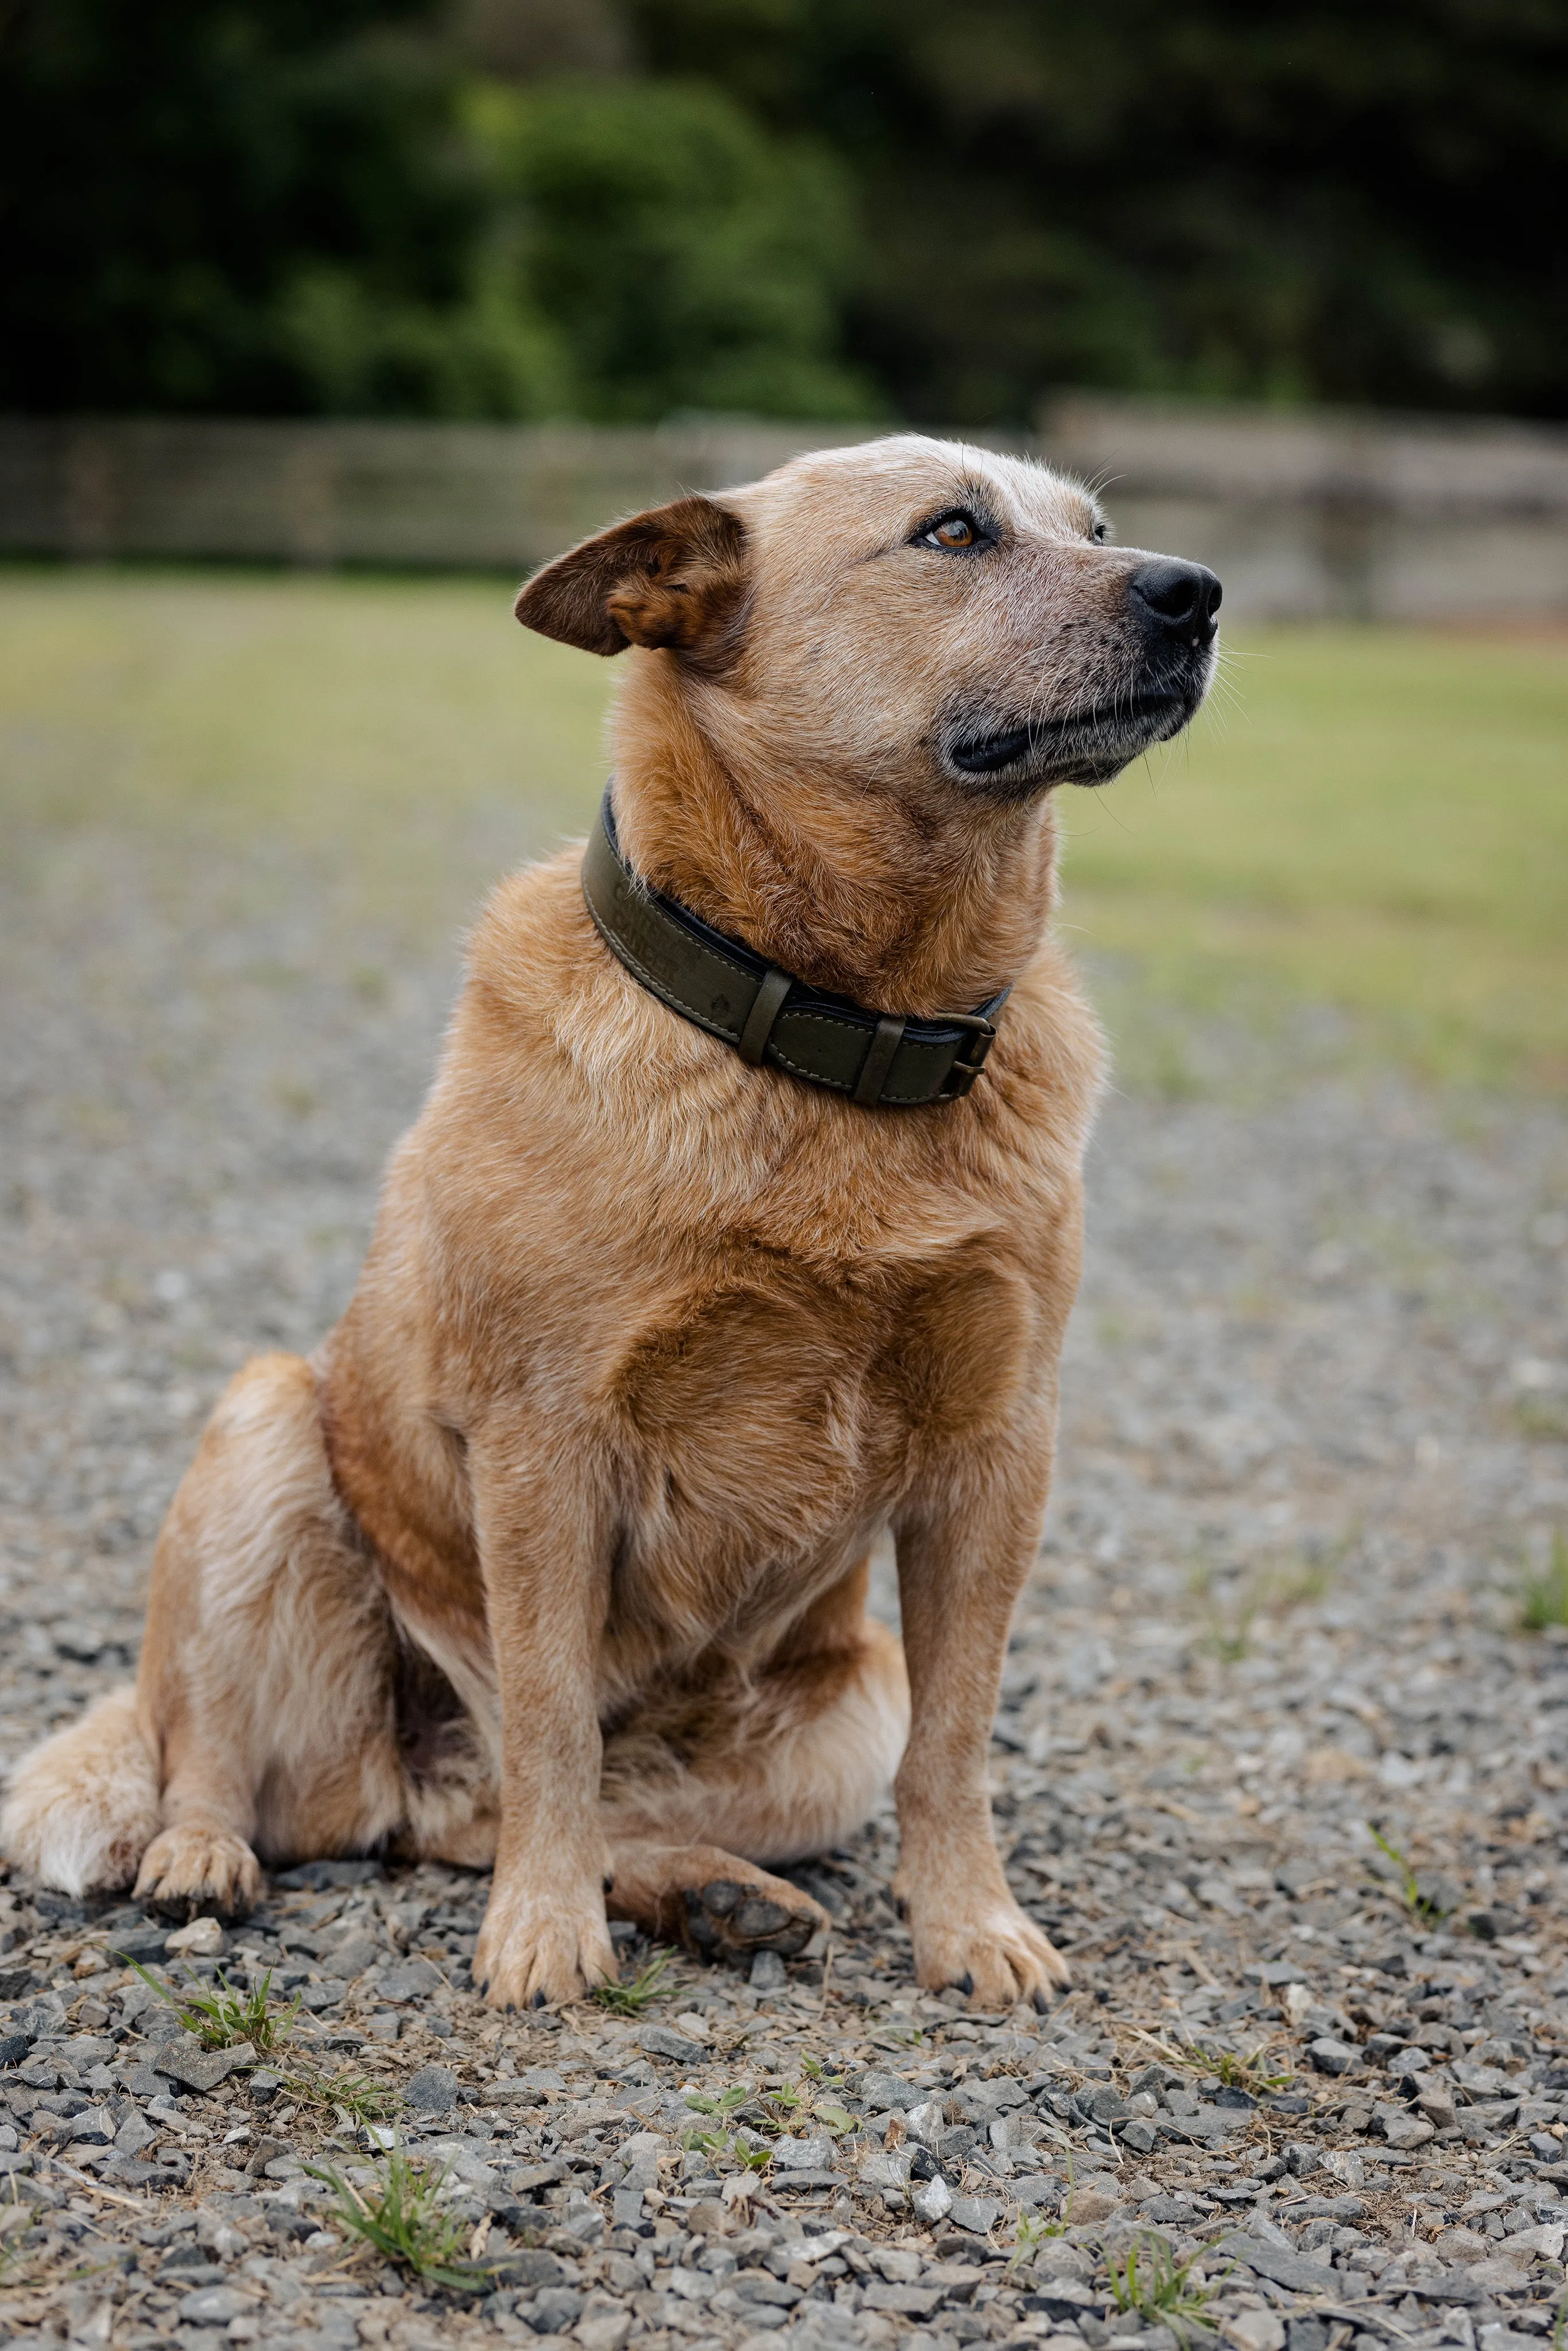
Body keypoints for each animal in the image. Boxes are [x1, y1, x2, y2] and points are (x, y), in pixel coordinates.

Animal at [0, 437, 1222, 2003]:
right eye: (952, 532)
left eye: (1097, 525)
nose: (1194, 591)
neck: (837, 1040)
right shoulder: (543, 1439)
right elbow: (551, 1715)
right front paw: (544, 1937)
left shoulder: (999, 1447)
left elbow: (955, 1741)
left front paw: (971, 1928)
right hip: (265, 1425)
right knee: (249, 1755)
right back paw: (206, 1854)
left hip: (841, 1711)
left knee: (490, 1820)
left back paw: (714, 1892)